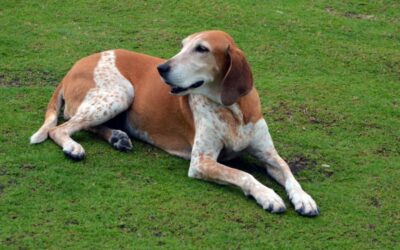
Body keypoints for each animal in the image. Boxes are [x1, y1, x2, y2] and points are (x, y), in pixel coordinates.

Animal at [30, 30, 318, 216]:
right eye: (182, 45)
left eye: (201, 49)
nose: (162, 68)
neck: (232, 109)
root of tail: (73, 66)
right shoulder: (201, 162)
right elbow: (244, 175)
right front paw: (268, 195)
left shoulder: (269, 155)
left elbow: (288, 172)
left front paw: (304, 198)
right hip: (120, 93)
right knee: (59, 128)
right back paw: (73, 147)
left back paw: (117, 137)